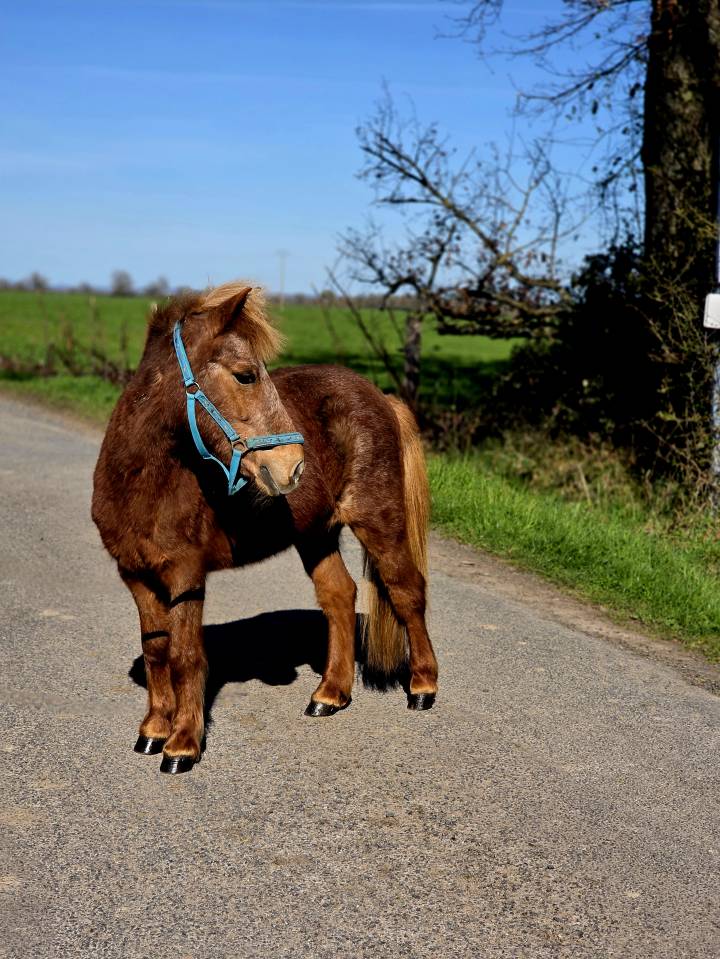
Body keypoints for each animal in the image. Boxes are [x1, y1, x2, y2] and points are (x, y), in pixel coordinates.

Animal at [91, 282, 439, 774]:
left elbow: (186, 656)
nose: (292, 466)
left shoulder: (186, 577)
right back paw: (330, 694)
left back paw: (423, 686)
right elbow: (157, 650)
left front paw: (182, 745)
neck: (147, 485)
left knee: (406, 590)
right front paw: (154, 730)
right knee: (339, 595)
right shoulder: (136, 575)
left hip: (378, 520)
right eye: (245, 376)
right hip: (316, 534)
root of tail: (382, 398)